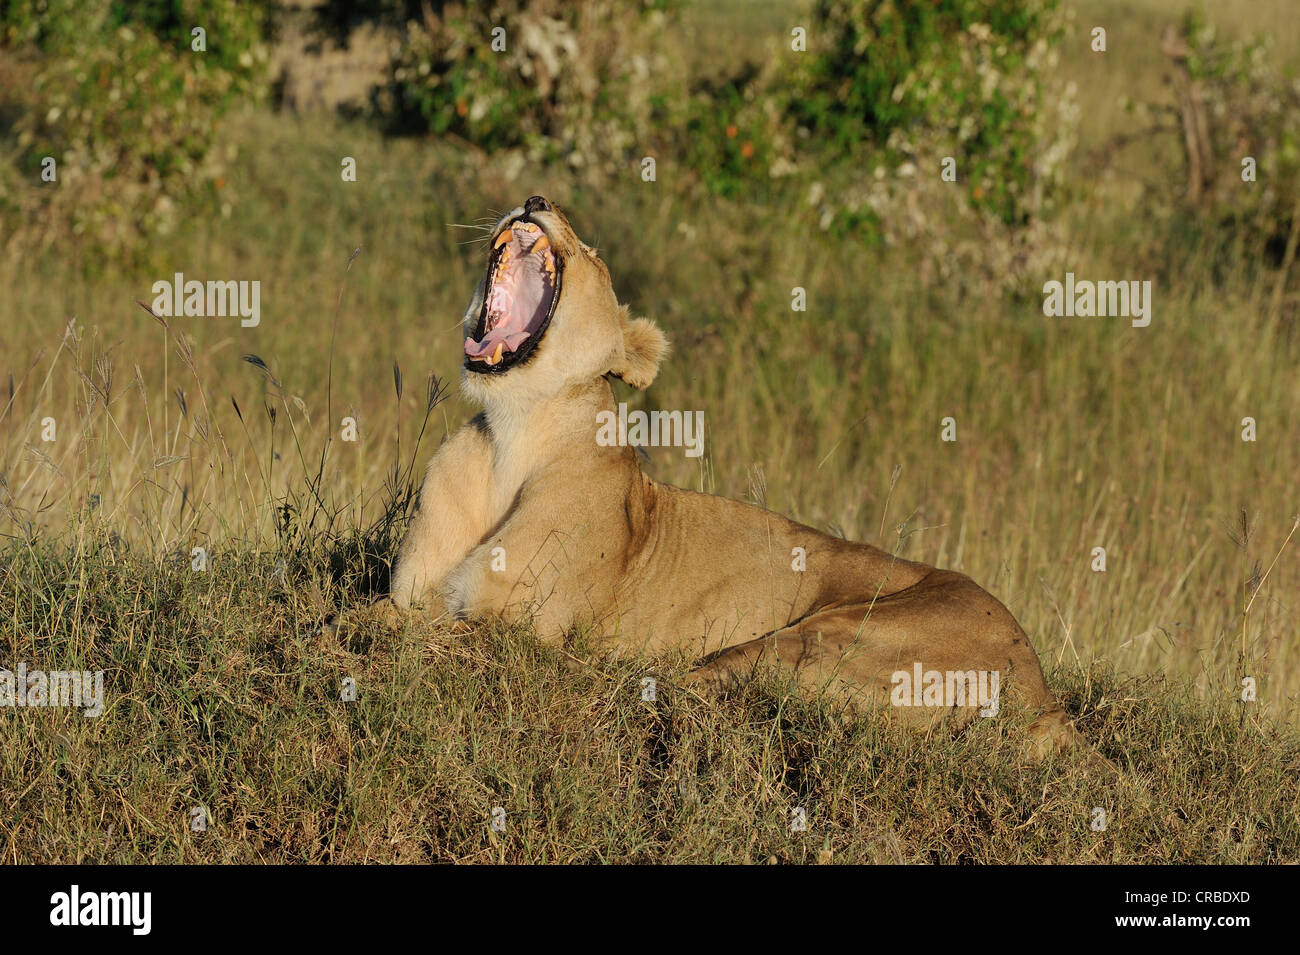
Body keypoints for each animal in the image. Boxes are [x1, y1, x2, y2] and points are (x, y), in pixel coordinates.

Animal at [388, 195, 1093, 762]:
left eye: (592, 254)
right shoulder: (416, 592)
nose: (536, 199)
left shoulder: (521, 634)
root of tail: (1048, 700)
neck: (511, 435)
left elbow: (421, 628)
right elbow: (390, 612)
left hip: (821, 637)